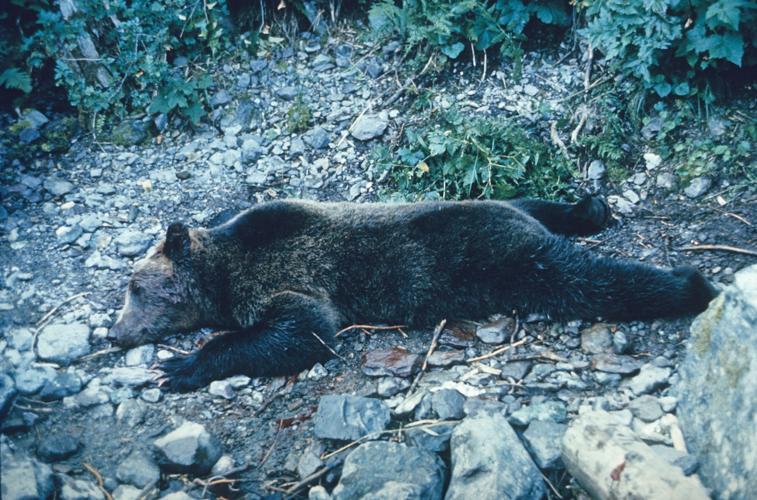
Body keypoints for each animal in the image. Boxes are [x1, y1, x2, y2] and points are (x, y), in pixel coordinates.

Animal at [108, 196, 718, 392]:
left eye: (136, 289)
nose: (114, 334)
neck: (224, 269)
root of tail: (521, 225)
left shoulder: (282, 278)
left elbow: (305, 330)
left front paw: (183, 364)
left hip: (507, 259)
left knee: (587, 278)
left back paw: (690, 285)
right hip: (507, 214)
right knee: (535, 202)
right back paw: (588, 209)